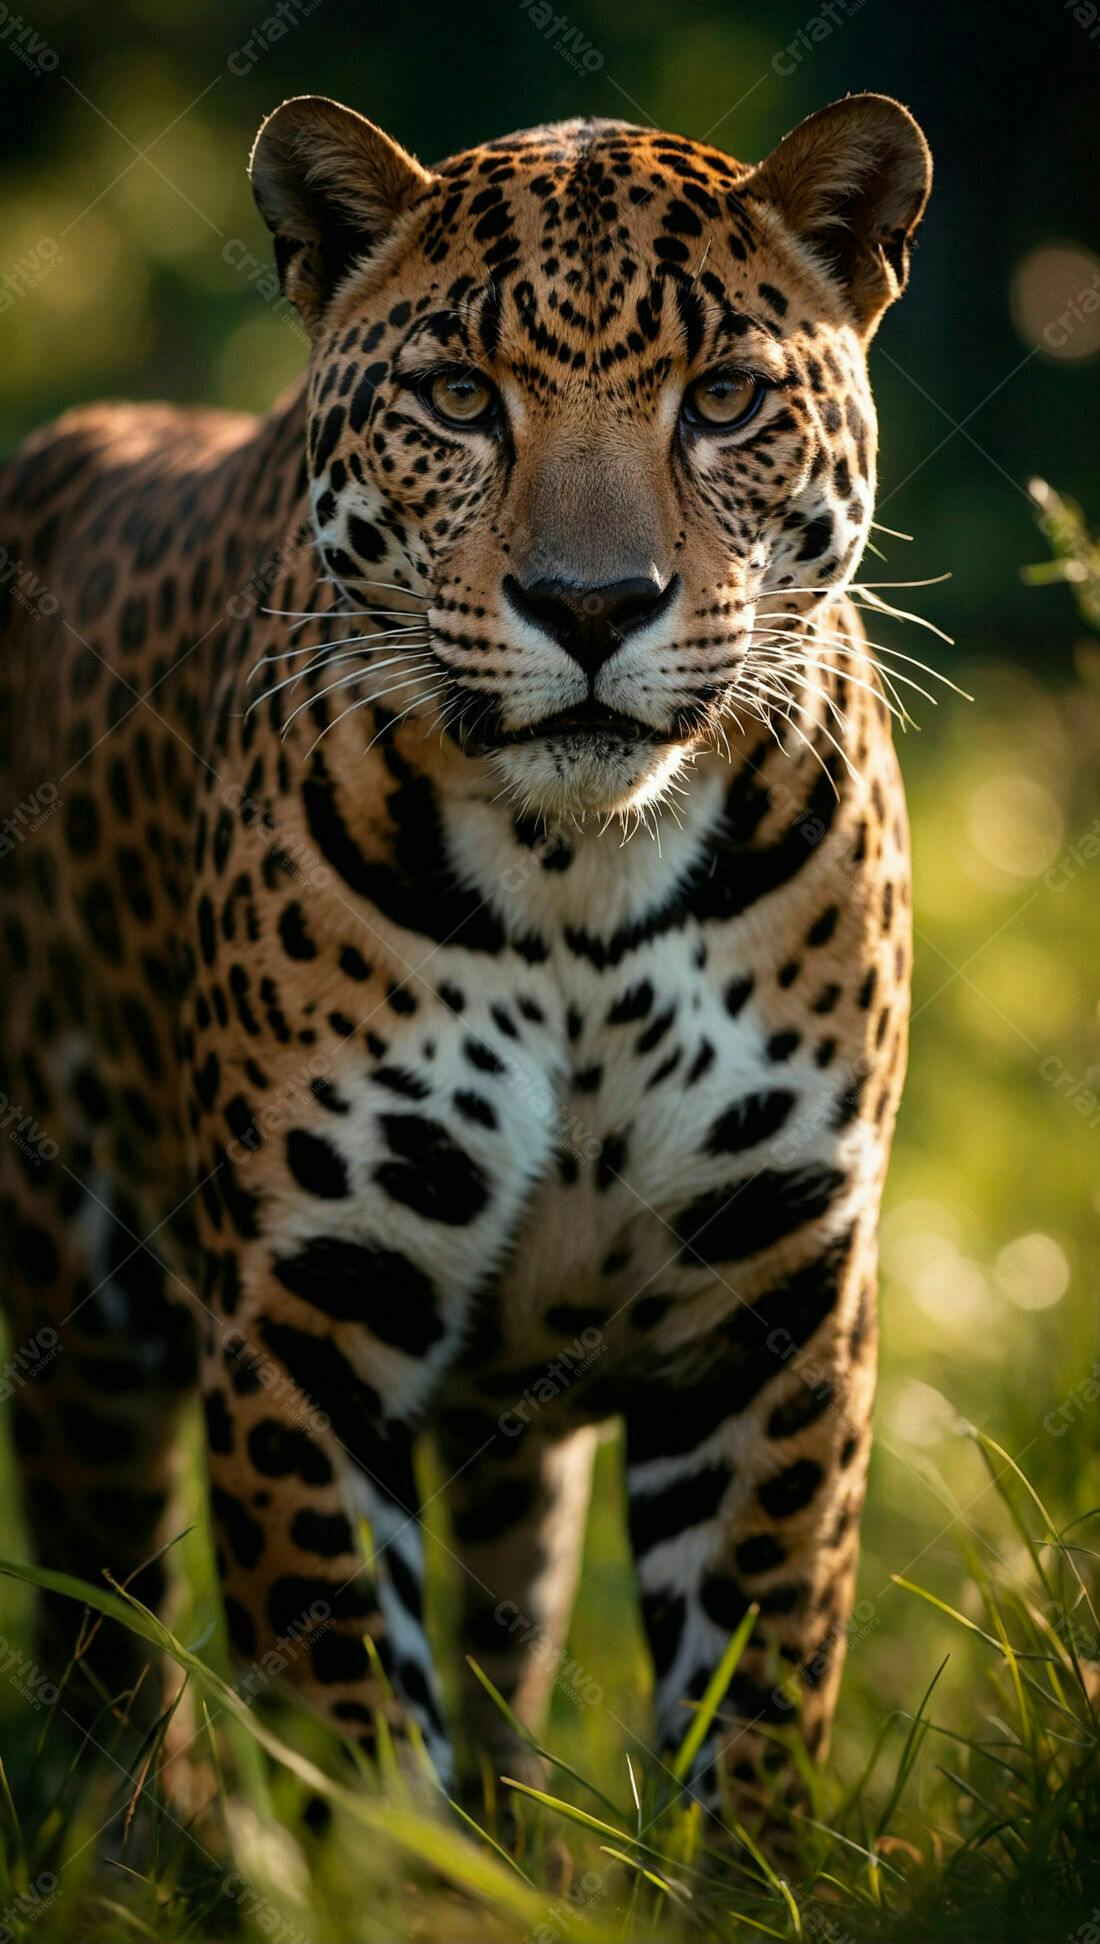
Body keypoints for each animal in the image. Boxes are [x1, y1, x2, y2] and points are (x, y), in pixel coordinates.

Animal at [0, 90, 930, 1839]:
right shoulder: (310, 1308)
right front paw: (394, 1873)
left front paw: (744, 1876)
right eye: (458, 398)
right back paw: (139, 1835)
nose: (591, 605)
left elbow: (759, 1680)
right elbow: (357, 1713)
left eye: (722, 401)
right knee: (104, 1624)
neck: (581, 889)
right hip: (73, 1292)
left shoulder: (773, 1299)